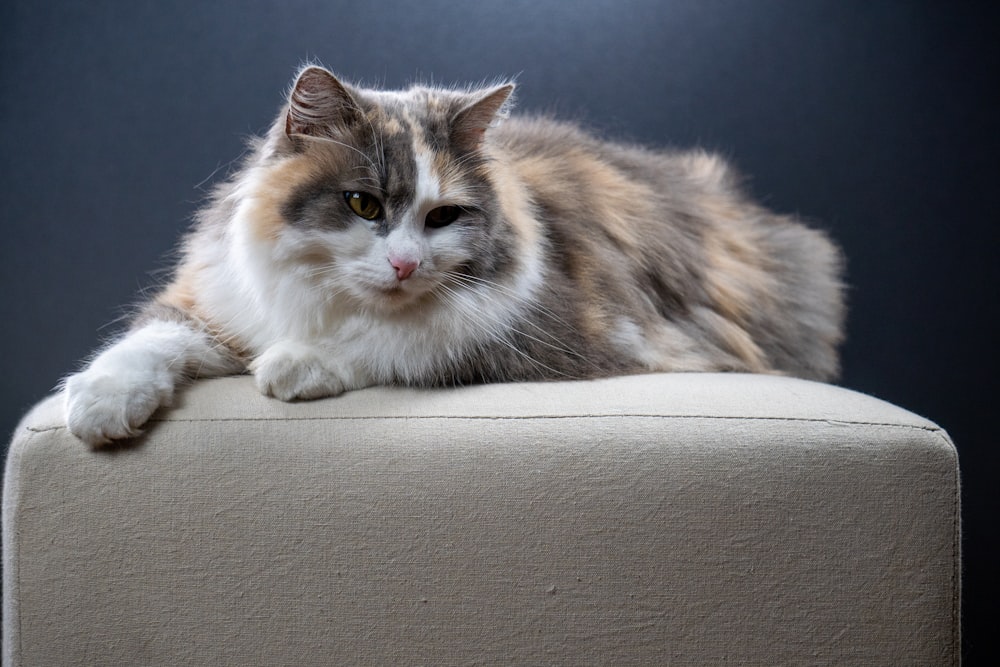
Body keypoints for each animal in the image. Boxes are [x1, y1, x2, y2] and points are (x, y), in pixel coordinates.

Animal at [62, 65, 844, 446]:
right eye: (363, 204)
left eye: (442, 217)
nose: (406, 265)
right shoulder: (213, 303)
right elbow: (146, 341)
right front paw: (97, 405)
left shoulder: (554, 331)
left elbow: (399, 342)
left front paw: (295, 365)